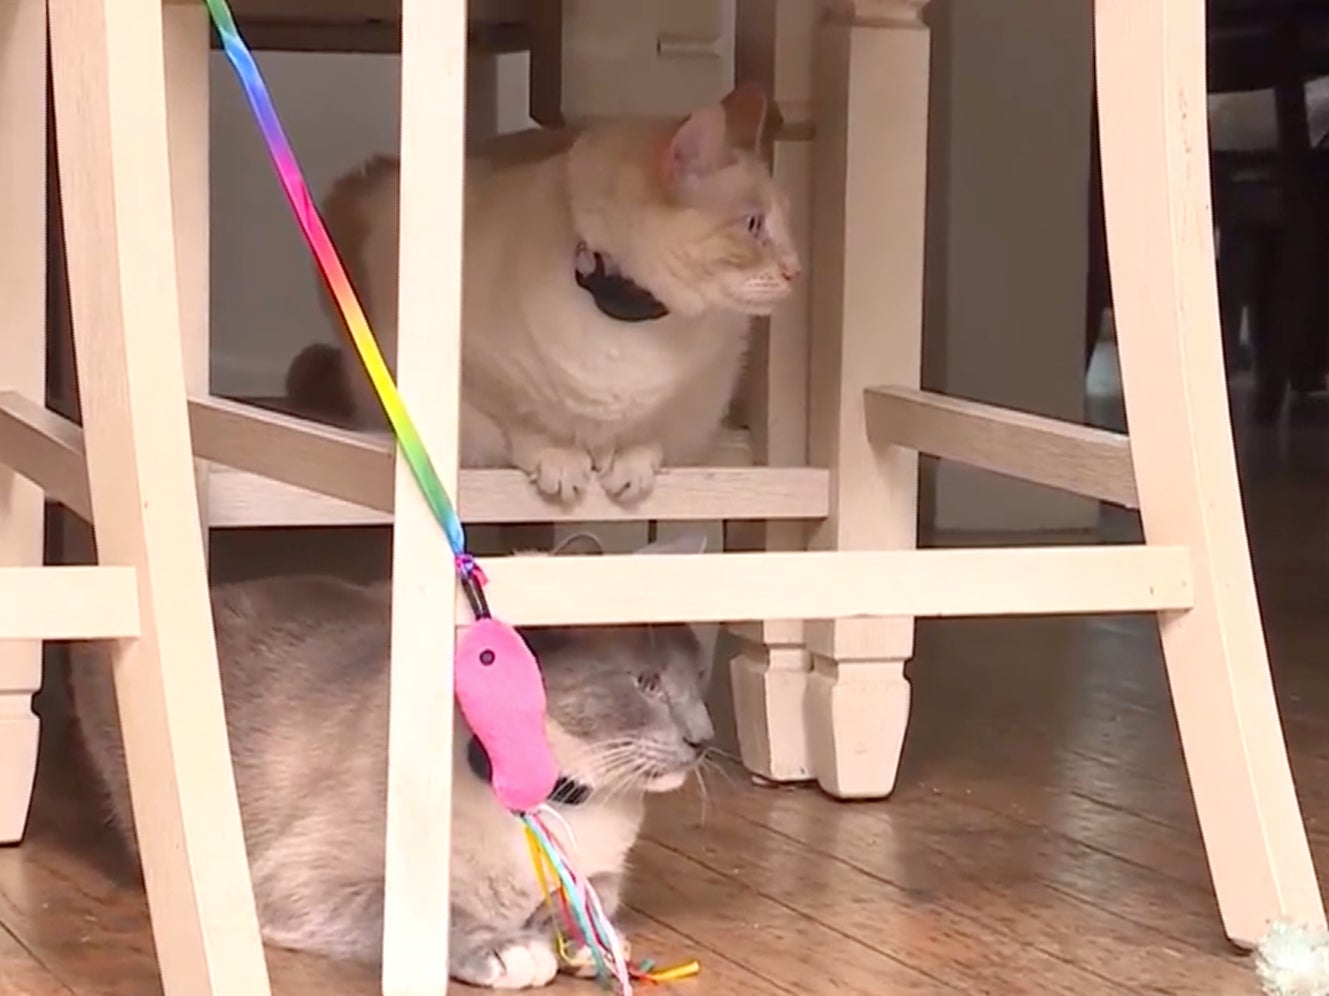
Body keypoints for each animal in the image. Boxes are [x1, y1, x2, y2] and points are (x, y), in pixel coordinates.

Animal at [70, 531, 717, 984]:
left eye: (699, 677)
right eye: (648, 683)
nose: (705, 738)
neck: (558, 801)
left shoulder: (602, 873)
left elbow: (585, 902)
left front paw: (590, 942)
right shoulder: (304, 879)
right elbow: (423, 912)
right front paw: (512, 950)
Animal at [305, 83, 792, 505]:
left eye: (786, 223)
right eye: (753, 224)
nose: (796, 271)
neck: (629, 325)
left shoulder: (694, 404)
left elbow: (649, 435)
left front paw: (628, 466)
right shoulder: (476, 379)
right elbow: (523, 424)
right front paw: (562, 463)